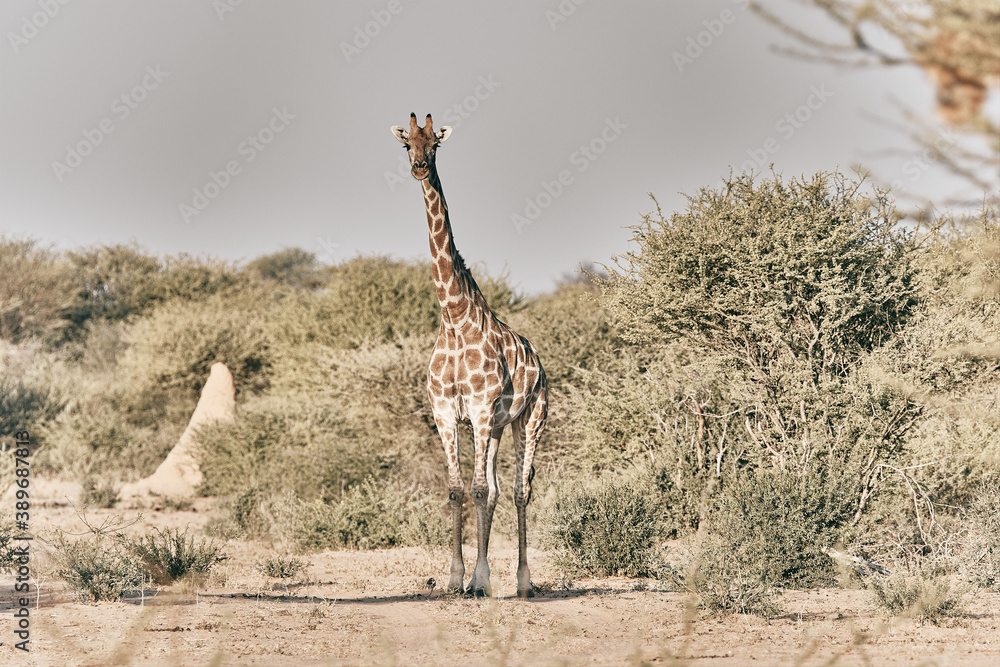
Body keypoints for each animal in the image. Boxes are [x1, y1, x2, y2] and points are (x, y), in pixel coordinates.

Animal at [391, 113, 548, 598]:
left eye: (436, 145)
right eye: (407, 145)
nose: (420, 168)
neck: (454, 317)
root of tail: (542, 367)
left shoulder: (478, 410)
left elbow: (477, 490)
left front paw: (478, 582)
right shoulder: (445, 412)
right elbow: (459, 490)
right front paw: (457, 578)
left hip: (528, 419)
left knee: (519, 489)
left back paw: (522, 582)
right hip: (495, 428)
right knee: (496, 490)